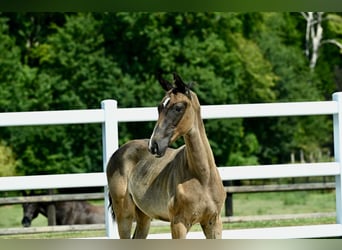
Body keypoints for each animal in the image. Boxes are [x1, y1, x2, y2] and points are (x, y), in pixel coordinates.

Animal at [105, 72, 226, 238]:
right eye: (159, 107)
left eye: (178, 107)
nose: (154, 145)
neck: (202, 177)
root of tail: (117, 152)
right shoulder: (178, 224)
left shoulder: (213, 222)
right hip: (124, 215)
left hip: (144, 216)